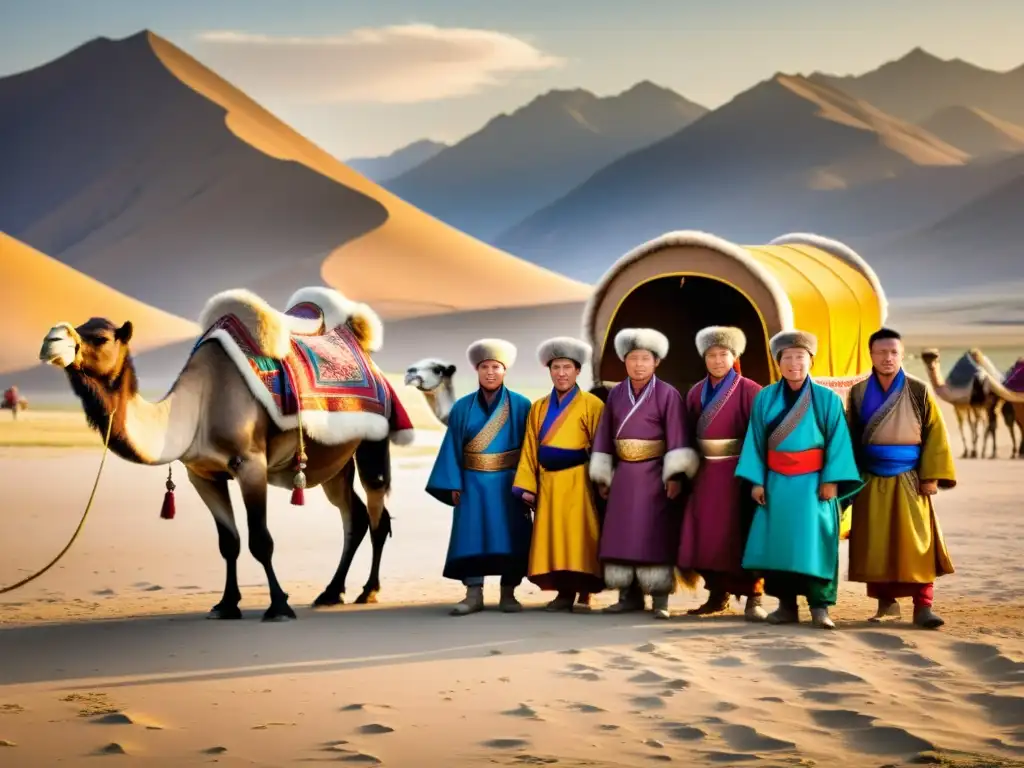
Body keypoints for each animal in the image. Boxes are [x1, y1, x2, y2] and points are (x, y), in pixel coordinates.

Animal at [37, 286, 411, 622]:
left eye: (100, 337)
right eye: (80, 325)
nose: (50, 339)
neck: (198, 404)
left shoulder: (250, 464)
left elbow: (260, 540)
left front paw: (279, 606)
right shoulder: (202, 474)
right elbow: (228, 542)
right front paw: (226, 605)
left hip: (373, 441)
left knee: (377, 516)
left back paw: (367, 591)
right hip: (333, 462)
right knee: (354, 516)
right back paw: (331, 592)